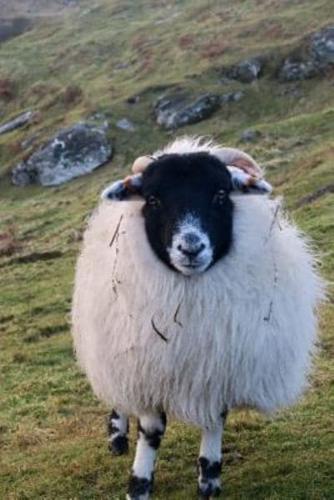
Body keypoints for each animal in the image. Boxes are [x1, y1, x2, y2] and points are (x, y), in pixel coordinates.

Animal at [71, 137, 324, 500]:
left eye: (220, 194)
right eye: (153, 199)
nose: (191, 248)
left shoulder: (217, 366)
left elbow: (215, 419)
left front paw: (209, 477)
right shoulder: (147, 367)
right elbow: (152, 430)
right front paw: (139, 485)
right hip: (114, 345)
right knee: (119, 396)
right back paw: (117, 434)